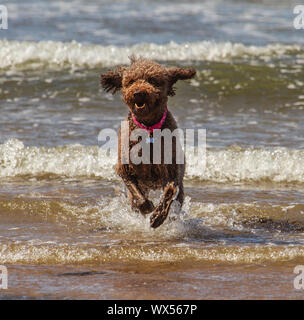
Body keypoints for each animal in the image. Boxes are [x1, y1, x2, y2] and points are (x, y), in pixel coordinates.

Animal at [100, 57, 195, 228]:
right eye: (131, 81)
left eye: (152, 80)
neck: (148, 128)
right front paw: (147, 207)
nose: (138, 93)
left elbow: (169, 192)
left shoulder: (170, 169)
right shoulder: (126, 167)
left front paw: (157, 217)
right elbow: (137, 194)